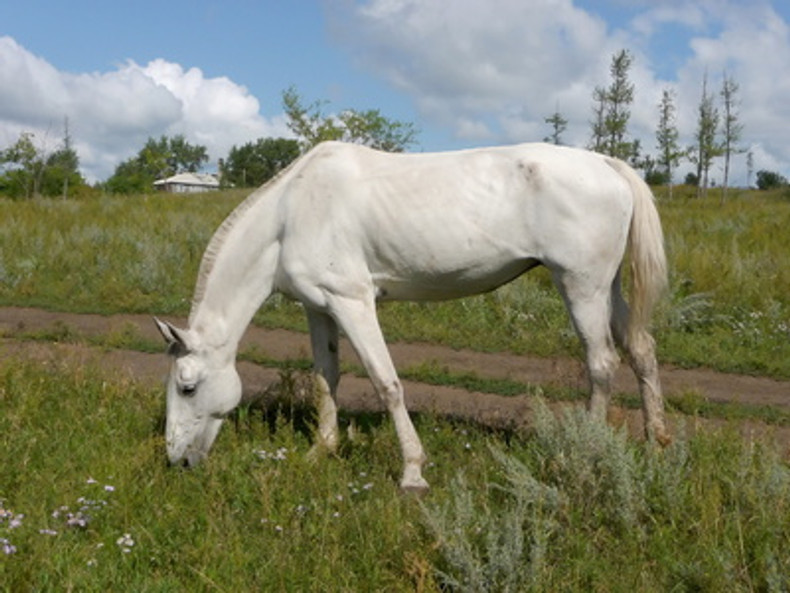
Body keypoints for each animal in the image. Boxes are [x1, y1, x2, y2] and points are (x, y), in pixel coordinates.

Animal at [156, 141, 668, 492]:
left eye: (187, 387)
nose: (177, 460)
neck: (290, 213)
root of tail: (606, 164)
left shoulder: (353, 301)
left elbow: (387, 382)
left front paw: (413, 473)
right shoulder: (318, 308)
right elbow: (325, 378)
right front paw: (322, 450)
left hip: (581, 286)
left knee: (601, 363)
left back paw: (585, 451)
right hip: (607, 288)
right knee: (641, 350)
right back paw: (658, 442)